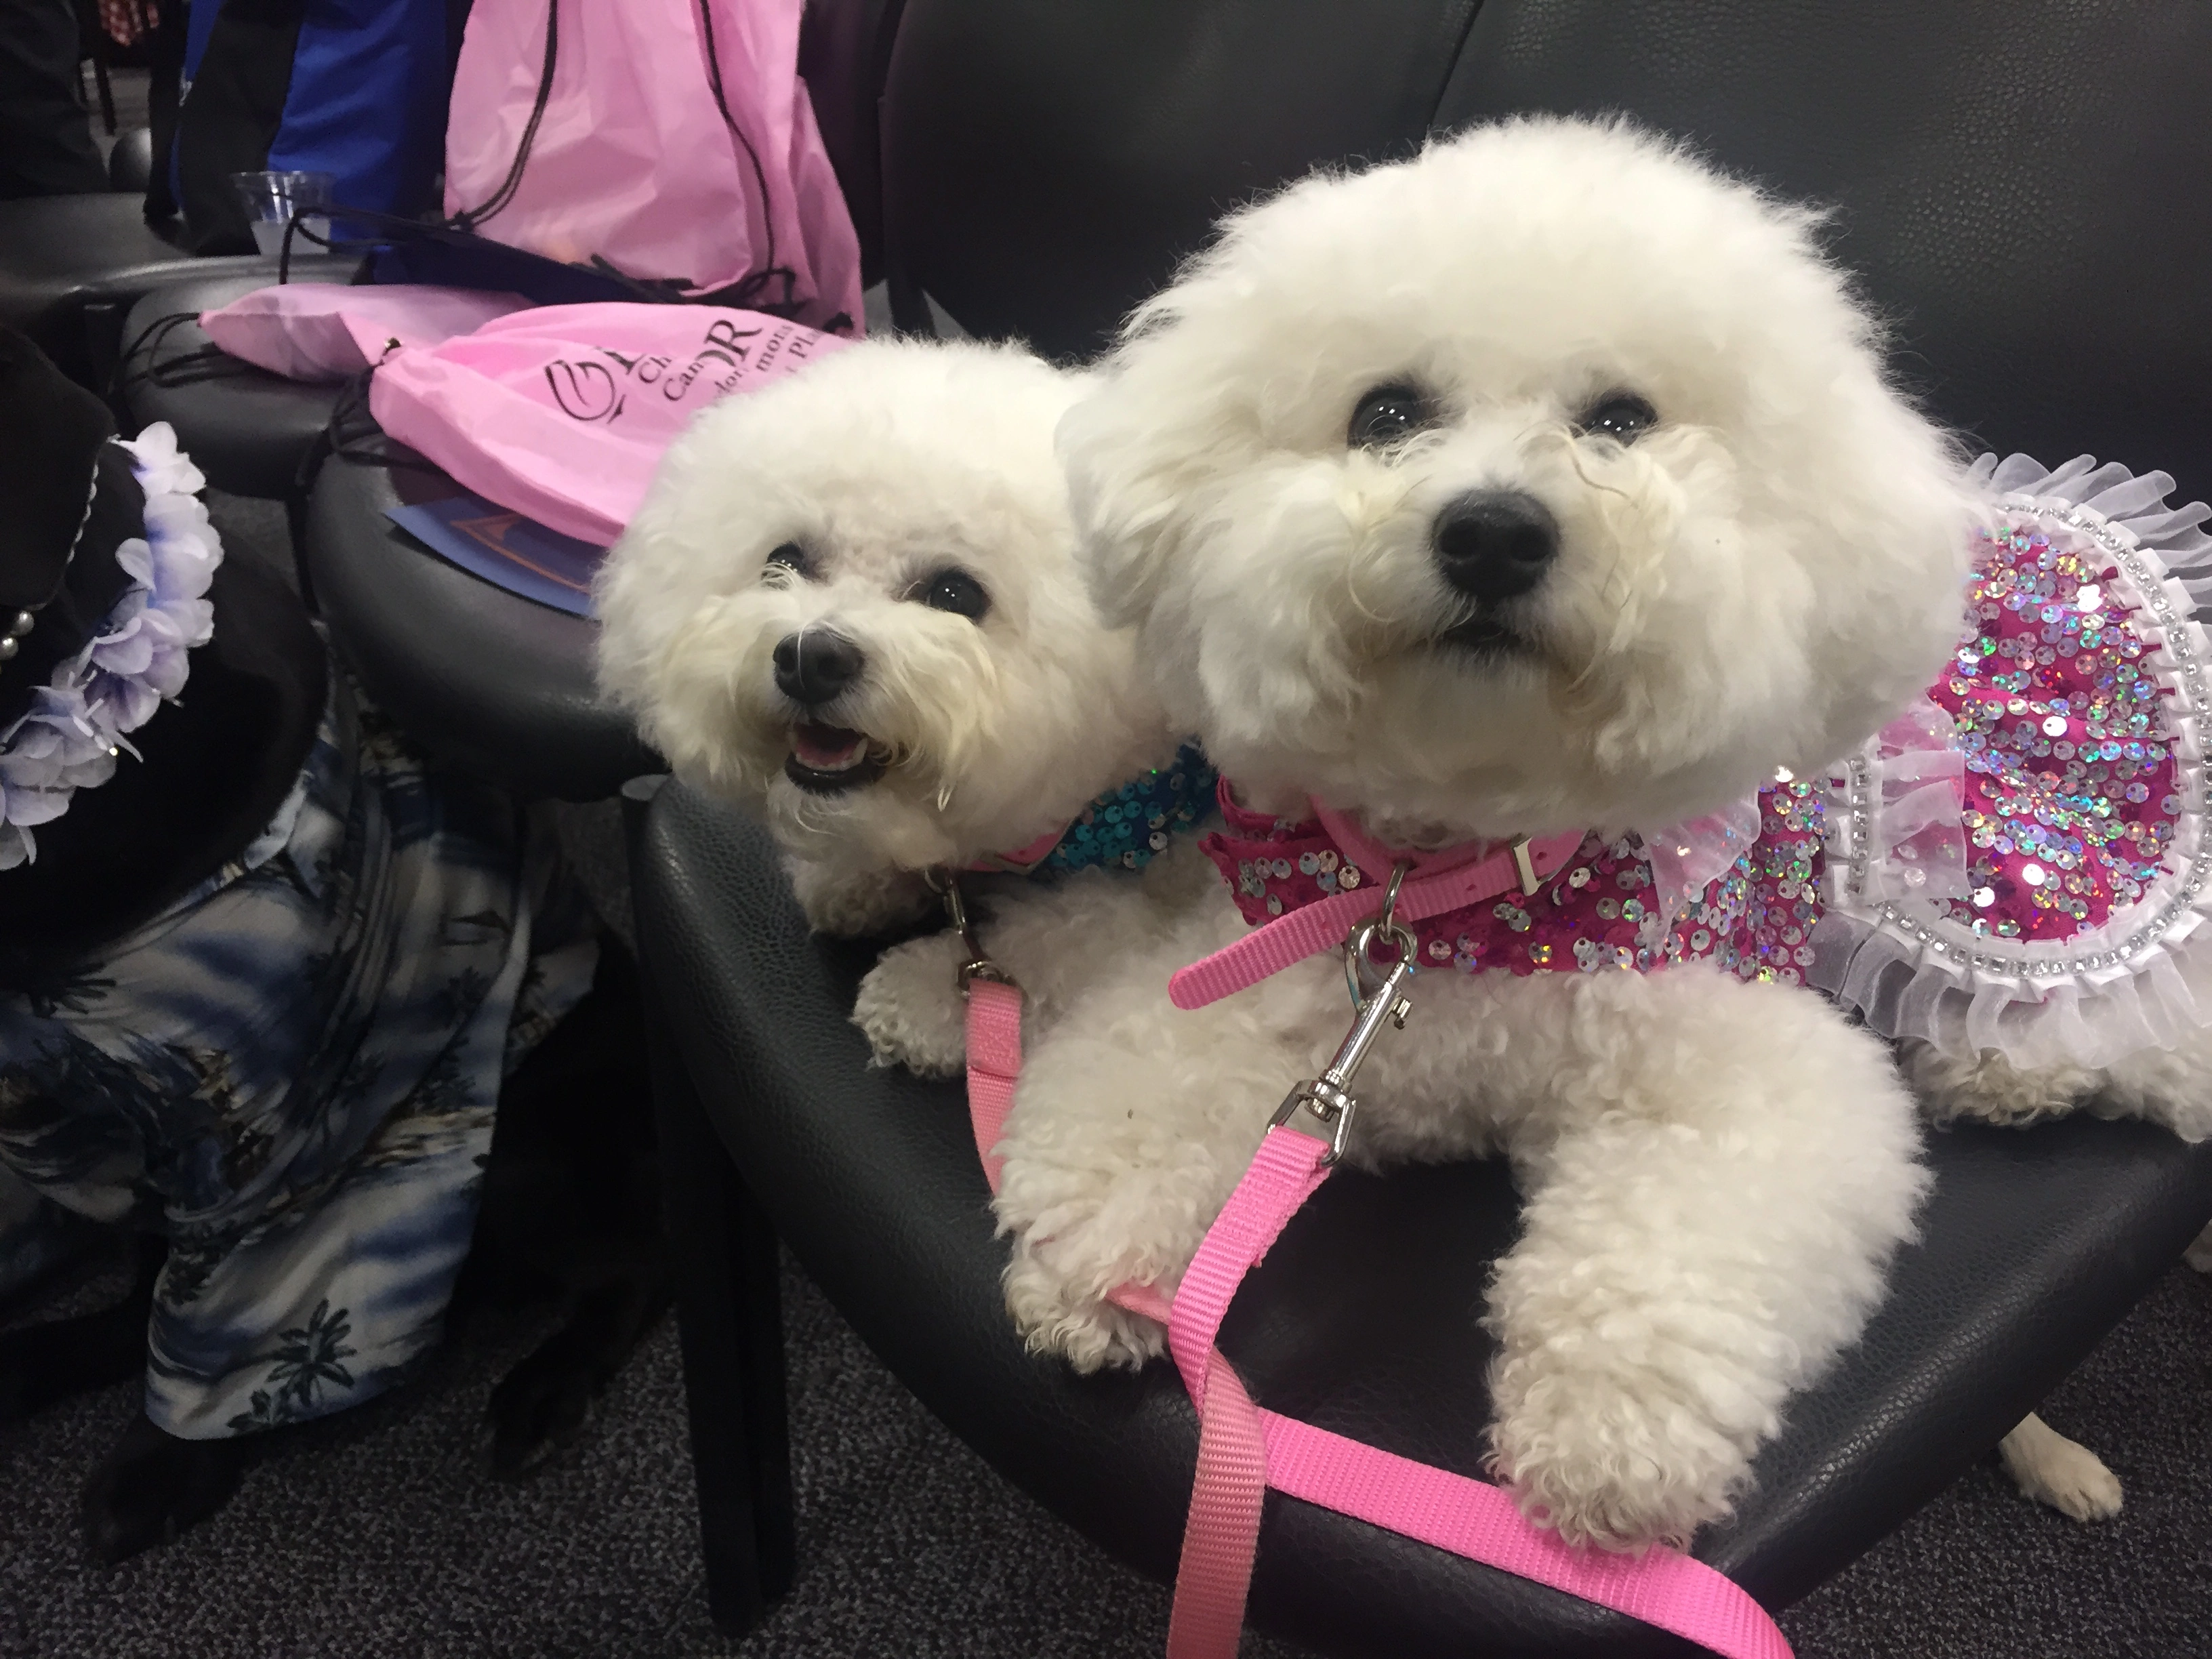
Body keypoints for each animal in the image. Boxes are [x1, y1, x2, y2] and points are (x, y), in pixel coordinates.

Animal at [597, 340, 1221, 1079]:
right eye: (784, 560)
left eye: (955, 594)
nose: (809, 659)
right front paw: (857, 879)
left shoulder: (1157, 893)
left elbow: (1046, 941)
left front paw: (920, 1000)